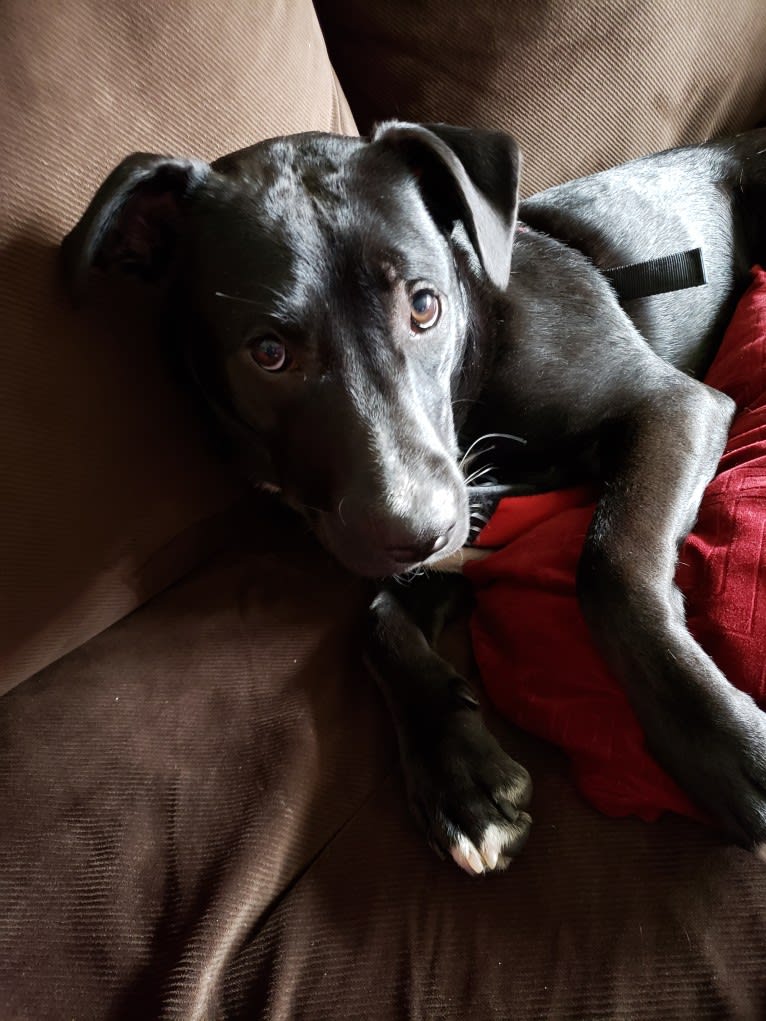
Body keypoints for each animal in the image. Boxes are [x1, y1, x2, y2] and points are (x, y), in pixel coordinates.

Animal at [63, 117, 766, 869]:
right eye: (268, 352)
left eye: (425, 306)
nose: (419, 533)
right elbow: (376, 618)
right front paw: (457, 770)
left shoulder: (673, 405)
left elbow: (610, 567)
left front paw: (727, 747)